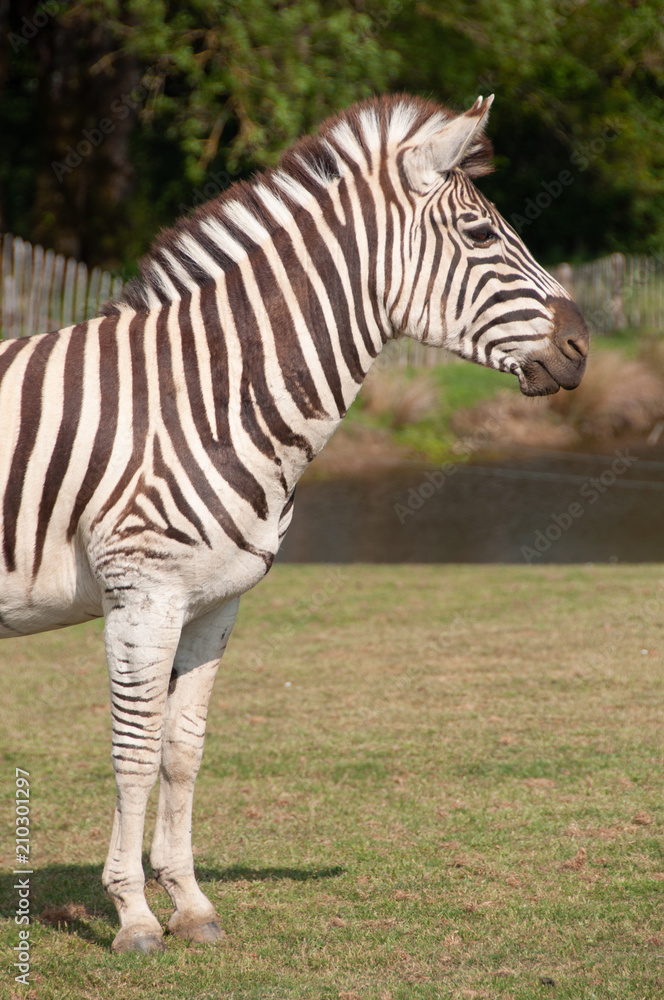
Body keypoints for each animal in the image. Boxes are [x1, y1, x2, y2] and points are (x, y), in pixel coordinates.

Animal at [1, 92, 588, 952]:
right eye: (482, 235)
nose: (583, 347)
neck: (206, 395)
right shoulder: (142, 594)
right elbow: (134, 751)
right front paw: (134, 915)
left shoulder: (213, 601)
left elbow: (183, 749)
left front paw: (190, 903)